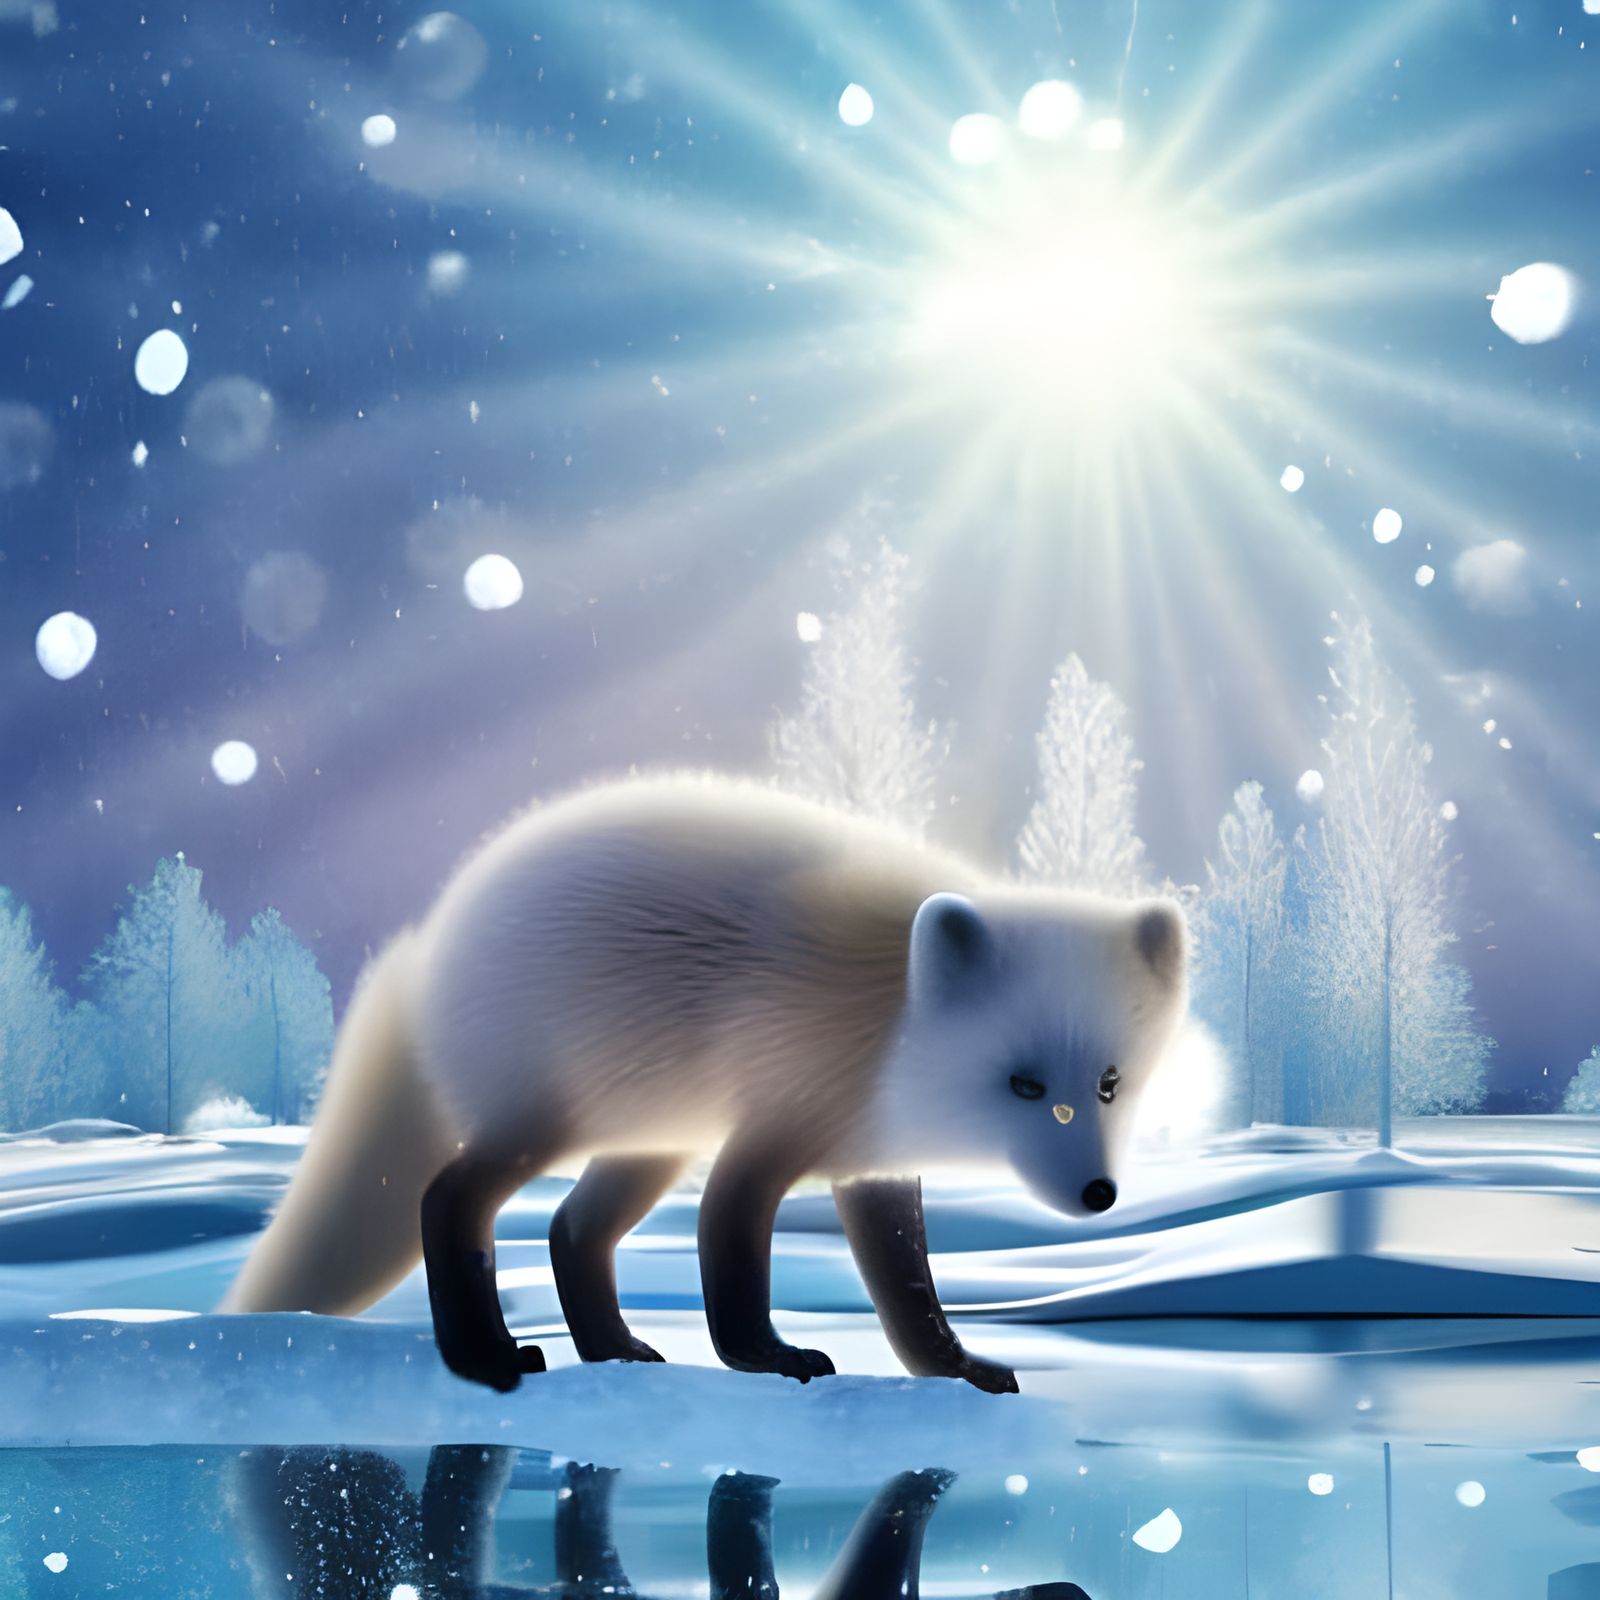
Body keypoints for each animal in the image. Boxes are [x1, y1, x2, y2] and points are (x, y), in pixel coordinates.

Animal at [223, 774, 1188, 1394]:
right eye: (1023, 1084)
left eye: (1110, 1083)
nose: (1099, 1194)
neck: (886, 1018)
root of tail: (428, 944)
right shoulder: (776, 1124)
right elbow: (731, 1251)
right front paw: (769, 1359)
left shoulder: (869, 1162)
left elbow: (910, 1299)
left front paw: (958, 1371)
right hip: (549, 1122)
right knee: (449, 1200)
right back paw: (488, 1359)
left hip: (647, 1141)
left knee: (570, 1230)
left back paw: (611, 1349)